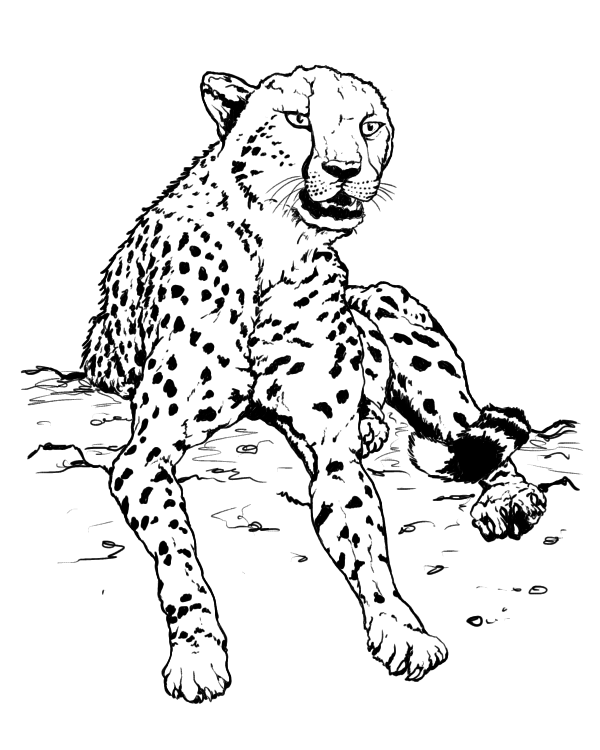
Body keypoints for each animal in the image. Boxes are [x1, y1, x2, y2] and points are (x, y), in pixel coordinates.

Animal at [82, 65, 547, 703]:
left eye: (369, 126)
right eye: (298, 118)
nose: (344, 170)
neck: (275, 254)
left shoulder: (331, 449)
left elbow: (369, 552)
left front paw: (400, 628)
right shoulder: (144, 453)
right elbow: (180, 555)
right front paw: (197, 653)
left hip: (395, 315)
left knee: (476, 430)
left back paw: (507, 497)